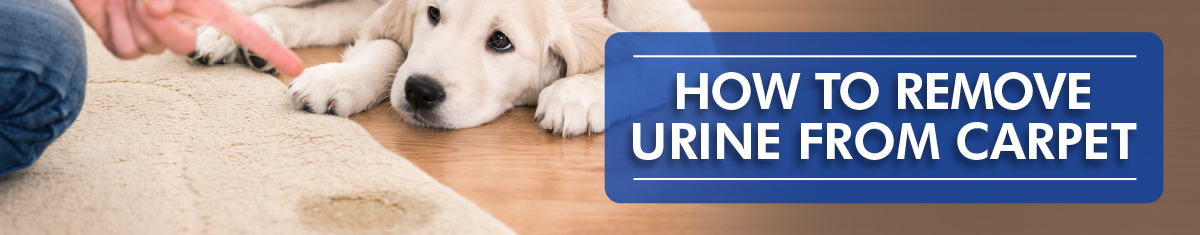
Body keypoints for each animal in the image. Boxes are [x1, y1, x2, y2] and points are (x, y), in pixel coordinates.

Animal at [190, 0, 705, 136]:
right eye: (434, 13)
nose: (420, 92)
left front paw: (576, 94)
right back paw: (214, 33)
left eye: (500, 41)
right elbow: (388, 47)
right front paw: (340, 78)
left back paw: (256, 38)